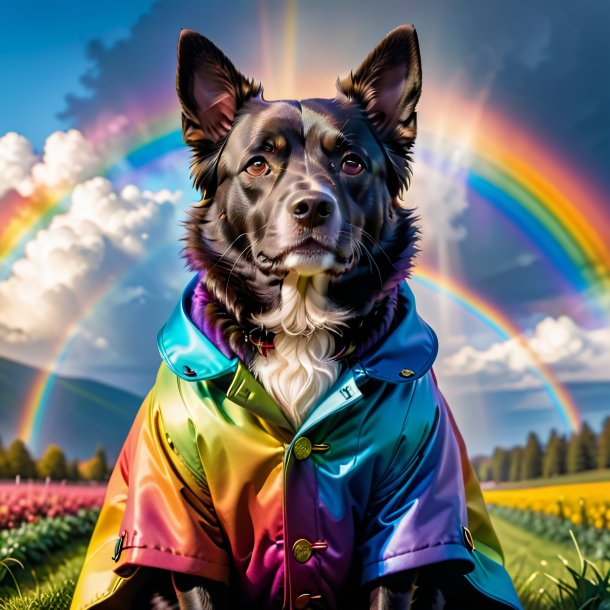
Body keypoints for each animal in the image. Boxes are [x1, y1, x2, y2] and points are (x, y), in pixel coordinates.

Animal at [70, 26, 516, 608]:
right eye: (258, 163)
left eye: (352, 162)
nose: (312, 207)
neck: (298, 329)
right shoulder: (179, 514)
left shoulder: (410, 508)